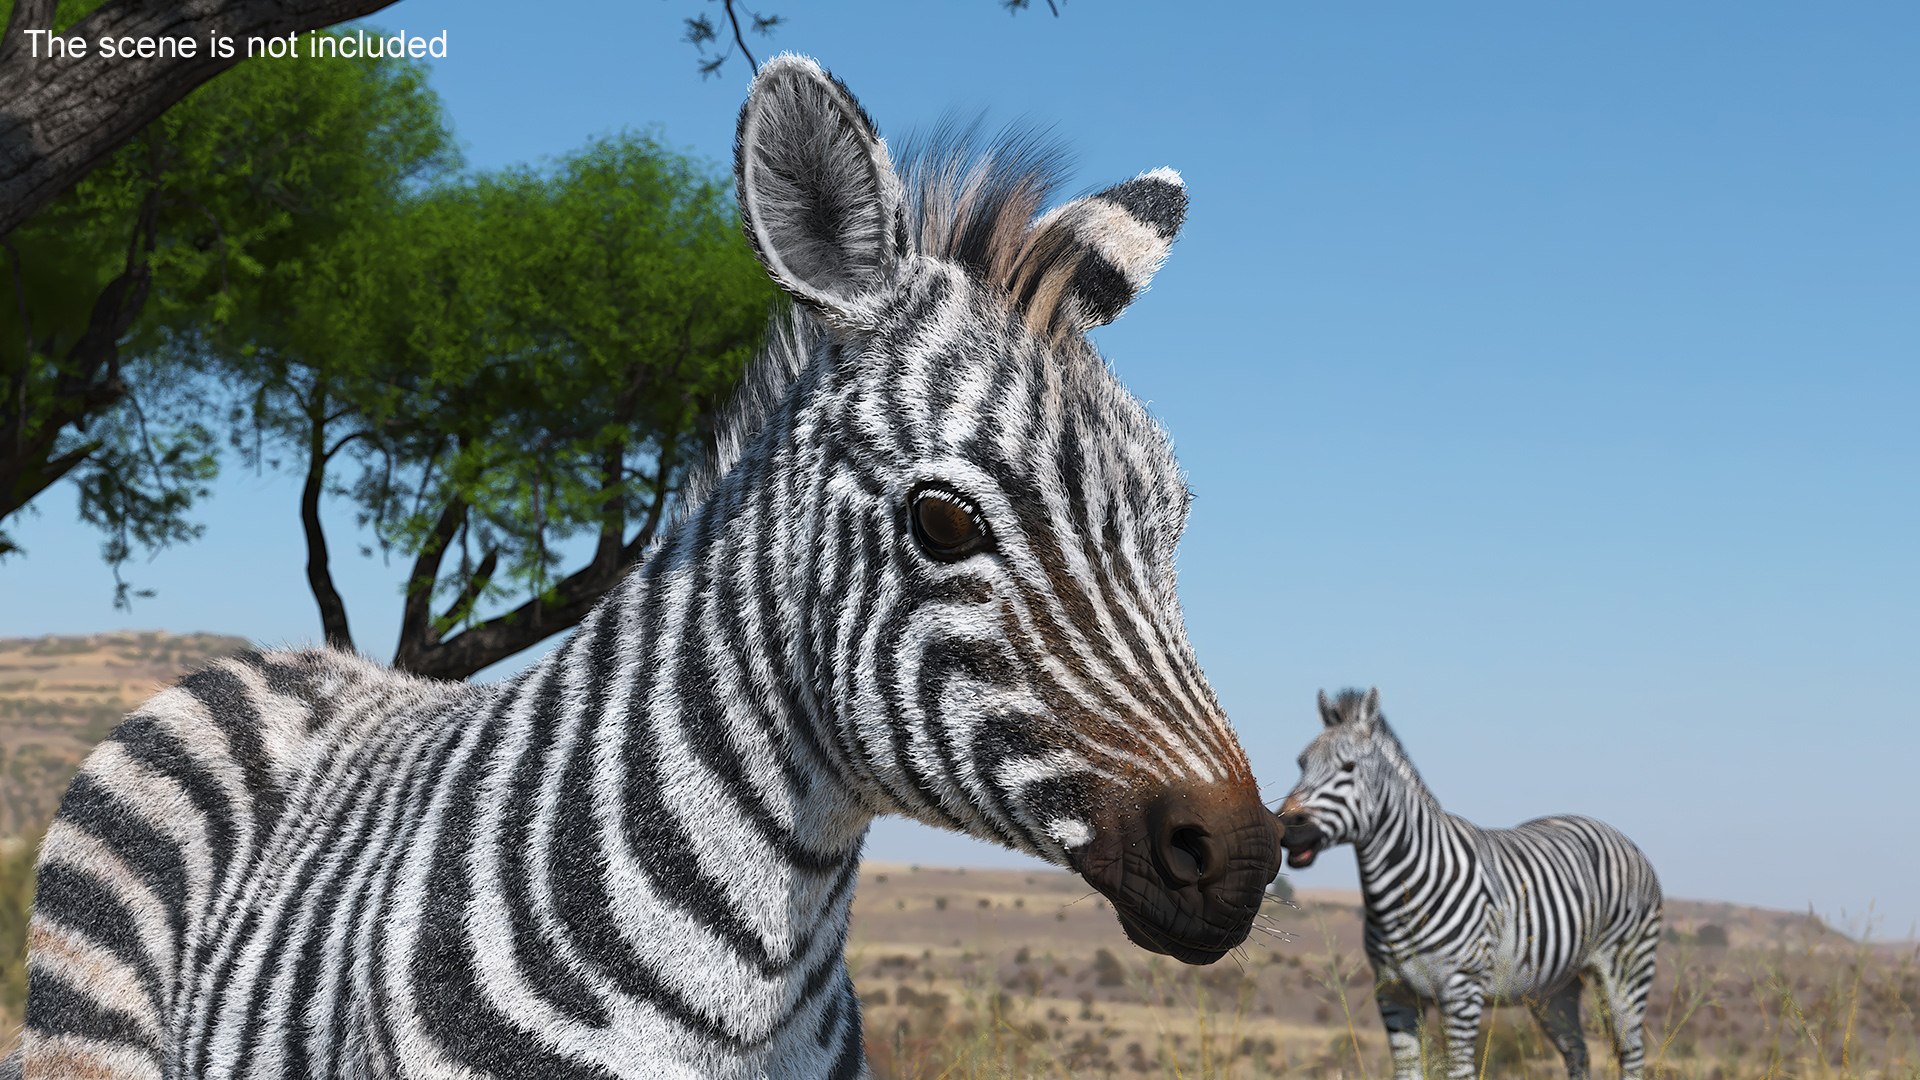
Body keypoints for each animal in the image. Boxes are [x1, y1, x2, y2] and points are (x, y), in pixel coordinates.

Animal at [1276, 688, 1662, 1080]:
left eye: (1349, 768)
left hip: (1627, 970)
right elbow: (1407, 1072)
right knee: (1577, 1052)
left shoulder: (1460, 993)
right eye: (1301, 764)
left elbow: (1459, 1072)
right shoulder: (1393, 994)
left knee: (1630, 1052)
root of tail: (1615, 832)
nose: (1287, 827)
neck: (1399, 893)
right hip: (1555, 989)